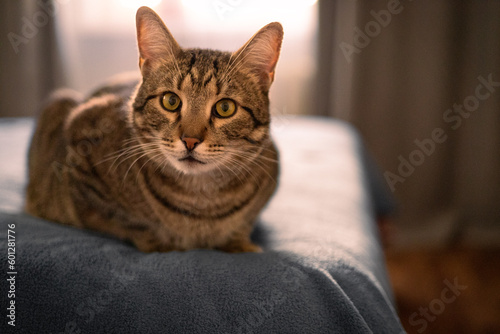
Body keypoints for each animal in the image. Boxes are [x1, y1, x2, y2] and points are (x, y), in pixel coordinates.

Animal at [25, 6, 284, 253]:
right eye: (171, 101)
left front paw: (239, 244)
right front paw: (162, 244)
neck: (201, 202)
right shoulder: (79, 157)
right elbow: (126, 221)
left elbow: (242, 225)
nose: (190, 140)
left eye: (225, 108)